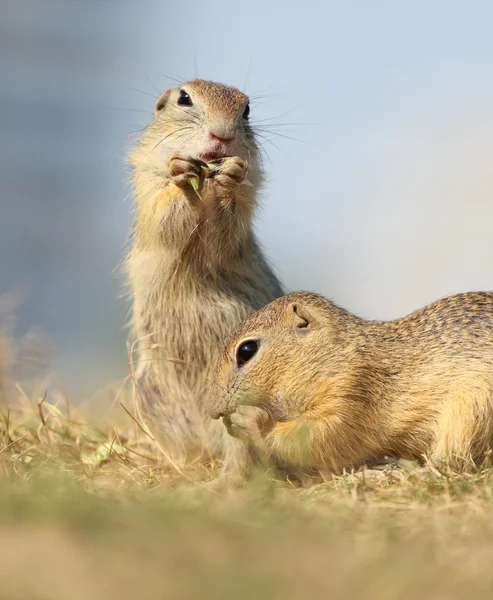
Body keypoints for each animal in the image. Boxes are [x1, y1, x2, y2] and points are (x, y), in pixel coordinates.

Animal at [125, 77, 282, 472]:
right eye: (185, 99)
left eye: (246, 110)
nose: (222, 135)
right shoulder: (150, 190)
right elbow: (167, 217)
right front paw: (182, 174)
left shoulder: (244, 207)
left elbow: (224, 231)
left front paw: (229, 178)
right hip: (150, 396)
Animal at [210, 290, 493, 474]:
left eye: (247, 351)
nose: (214, 411)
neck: (335, 353)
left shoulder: (352, 392)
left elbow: (321, 437)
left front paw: (251, 421)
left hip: (471, 413)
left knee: (454, 462)